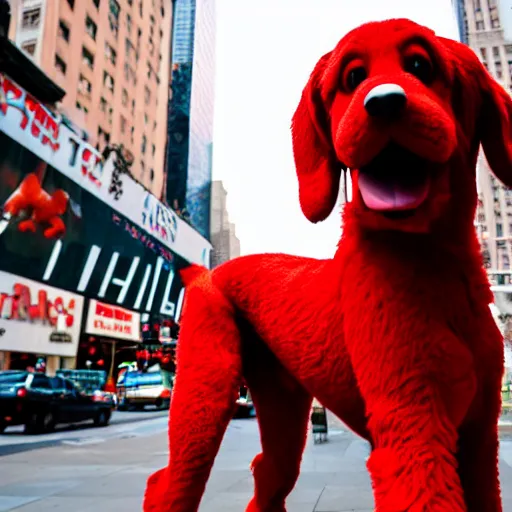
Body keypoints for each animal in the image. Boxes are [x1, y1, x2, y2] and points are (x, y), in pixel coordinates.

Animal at [144, 18, 508, 510]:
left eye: (420, 65)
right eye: (352, 77)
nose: (384, 102)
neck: (432, 265)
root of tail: (209, 271)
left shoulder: (478, 440)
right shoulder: (414, 435)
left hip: (280, 403)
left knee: (267, 473)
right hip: (204, 391)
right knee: (173, 481)